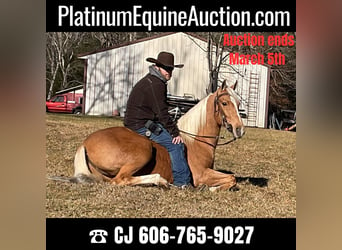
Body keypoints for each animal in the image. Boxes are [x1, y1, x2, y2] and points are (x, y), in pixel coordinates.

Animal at [50, 80, 243, 191]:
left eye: (238, 102)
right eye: (224, 103)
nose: (239, 129)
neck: (195, 140)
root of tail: (85, 143)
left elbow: (232, 178)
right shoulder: (201, 174)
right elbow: (232, 178)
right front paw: (210, 188)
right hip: (144, 151)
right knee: (120, 180)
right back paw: (160, 182)